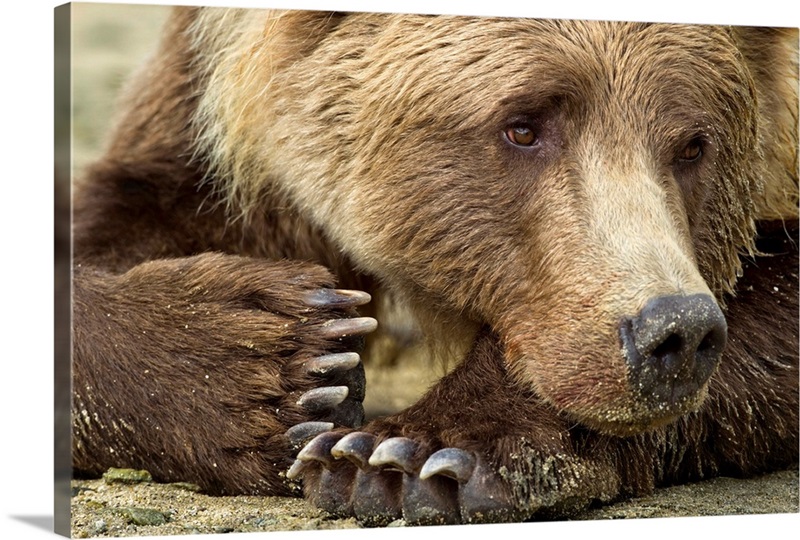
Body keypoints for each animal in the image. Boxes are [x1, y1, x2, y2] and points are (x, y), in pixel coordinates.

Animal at [72, 5, 796, 528]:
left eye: (693, 145)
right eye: (522, 125)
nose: (674, 333)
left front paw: (408, 456)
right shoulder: (202, 102)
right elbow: (122, 218)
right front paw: (279, 360)